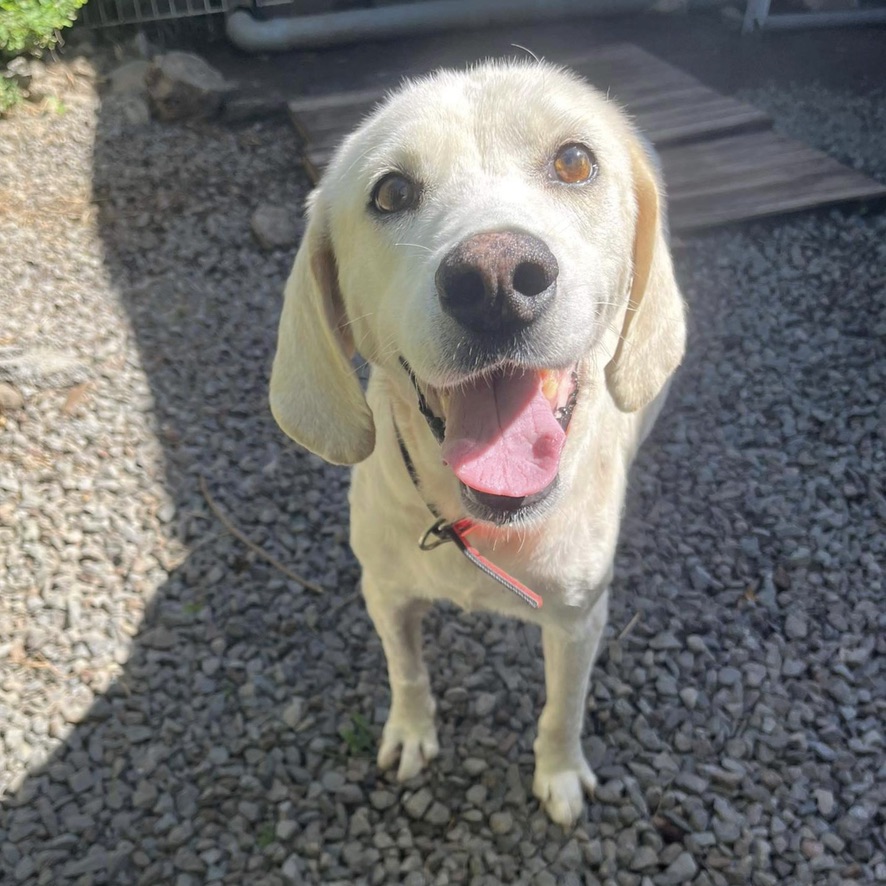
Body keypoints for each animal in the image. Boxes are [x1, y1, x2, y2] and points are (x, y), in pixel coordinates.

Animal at [268, 60, 688, 824]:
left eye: (575, 161)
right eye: (391, 191)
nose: (494, 279)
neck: (484, 523)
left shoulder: (581, 621)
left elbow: (562, 709)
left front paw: (558, 774)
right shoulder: (384, 590)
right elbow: (406, 672)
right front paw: (411, 733)